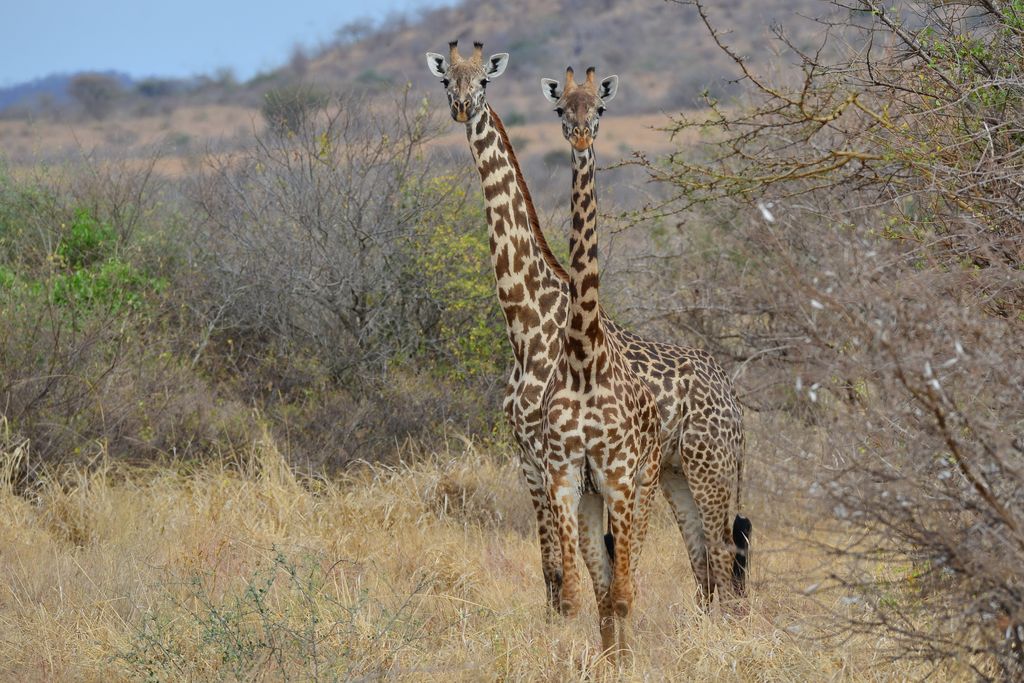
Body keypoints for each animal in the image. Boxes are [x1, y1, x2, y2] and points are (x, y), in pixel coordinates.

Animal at [423, 40, 753, 643]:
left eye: (483, 82)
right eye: (445, 82)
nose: (461, 108)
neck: (526, 324)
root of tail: (732, 394)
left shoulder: (558, 460)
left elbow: (572, 572)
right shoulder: (531, 458)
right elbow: (554, 572)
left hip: (708, 465)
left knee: (723, 553)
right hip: (675, 473)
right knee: (702, 561)